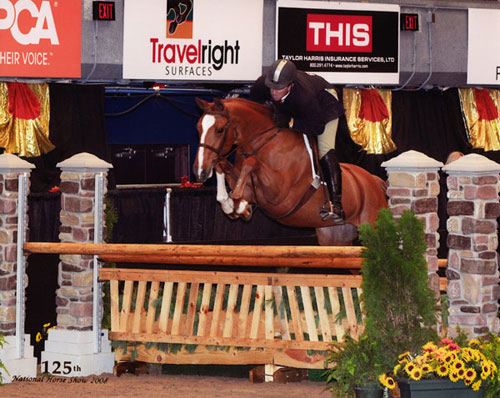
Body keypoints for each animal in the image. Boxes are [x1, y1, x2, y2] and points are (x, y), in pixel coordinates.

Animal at [192, 98, 386, 244]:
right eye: (198, 128)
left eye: (219, 130)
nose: (199, 172)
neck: (263, 141)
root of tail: (375, 181)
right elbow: (222, 166)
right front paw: (233, 205)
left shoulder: (280, 194)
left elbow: (251, 162)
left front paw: (238, 203)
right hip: (335, 237)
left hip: (371, 226)